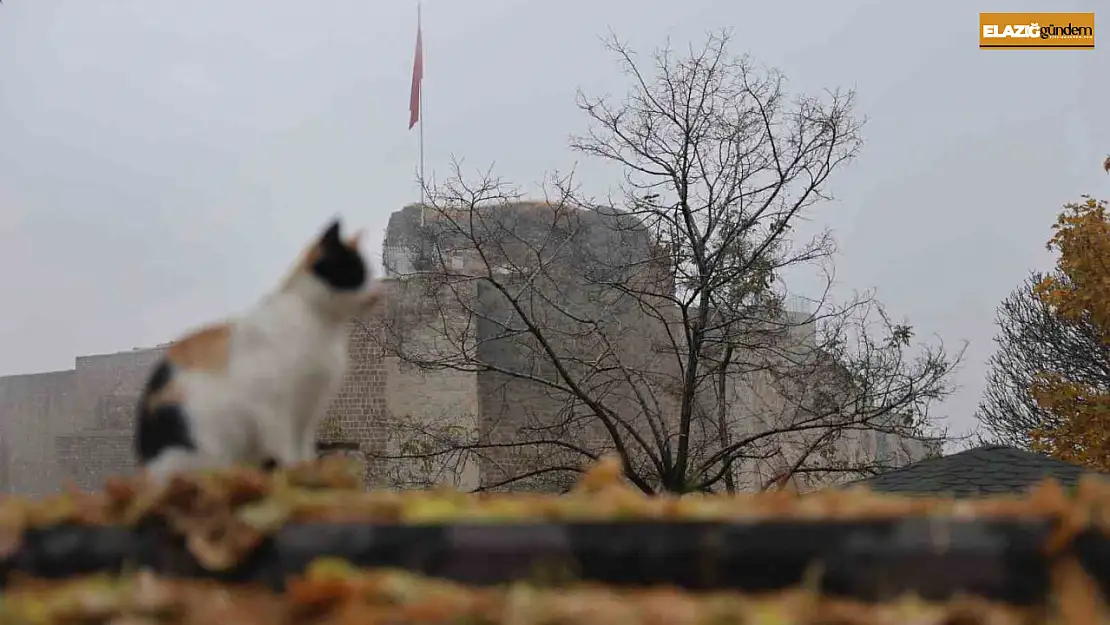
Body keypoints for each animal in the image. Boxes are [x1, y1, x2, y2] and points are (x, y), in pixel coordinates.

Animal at [133, 219, 384, 479]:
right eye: (355, 272)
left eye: (369, 273)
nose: (377, 294)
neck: (321, 325)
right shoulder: (273, 408)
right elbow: (287, 451)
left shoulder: (308, 411)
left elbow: (304, 451)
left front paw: (308, 473)